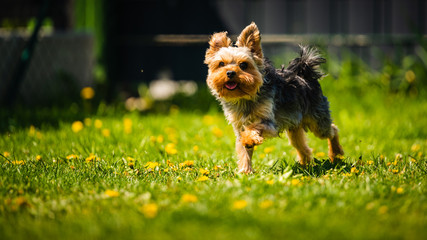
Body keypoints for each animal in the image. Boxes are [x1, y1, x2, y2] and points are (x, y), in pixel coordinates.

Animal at [204, 22, 344, 172]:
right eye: (221, 64)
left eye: (243, 65)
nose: (230, 73)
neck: (244, 98)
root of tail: (304, 74)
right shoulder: (239, 126)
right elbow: (244, 151)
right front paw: (245, 172)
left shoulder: (269, 122)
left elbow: (254, 126)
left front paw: (249, 139)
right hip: (294, 126)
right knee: (302, 146)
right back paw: (304, 167)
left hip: (317, 119)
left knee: (333, 129)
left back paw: (336, 154)